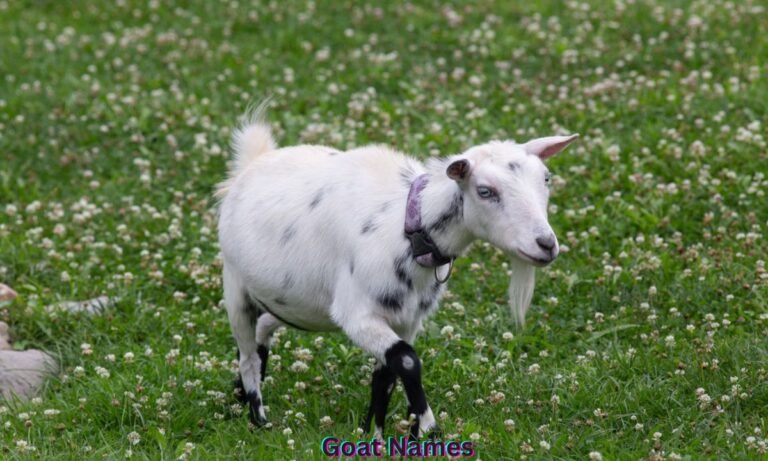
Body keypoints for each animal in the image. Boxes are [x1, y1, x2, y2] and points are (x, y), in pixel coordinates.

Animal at [216, 109, 577, 438]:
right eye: (485, 191)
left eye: (546, 179)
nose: (546, 245)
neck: (406, 227)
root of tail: (253, 161)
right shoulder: (357, 314)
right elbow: (406, 361)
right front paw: (428, 427)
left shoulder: (406, 318)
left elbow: (386, 376)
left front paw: (372, 434)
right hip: (235, 288)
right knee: (248, 355)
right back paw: (258, 417)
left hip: (294, 304)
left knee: (263, 330)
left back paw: (239, 397)